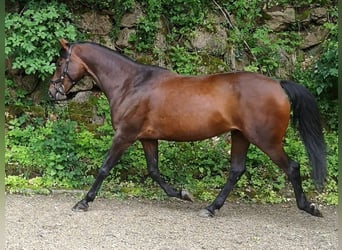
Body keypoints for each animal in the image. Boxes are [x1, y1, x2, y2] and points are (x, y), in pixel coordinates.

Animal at [48, 38, 326, 217]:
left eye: (60, 63)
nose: (52, 92)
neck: (131, 83)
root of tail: (278, 84)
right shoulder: (147, 138)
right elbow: (154, 171)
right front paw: (182, 193)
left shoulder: (124, 136)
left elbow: (104, 168)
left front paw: (83, 201)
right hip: (240, 136)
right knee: (236, 170)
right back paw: (211, 208)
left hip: (266, 140)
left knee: (292, 167)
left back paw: (309, 207)